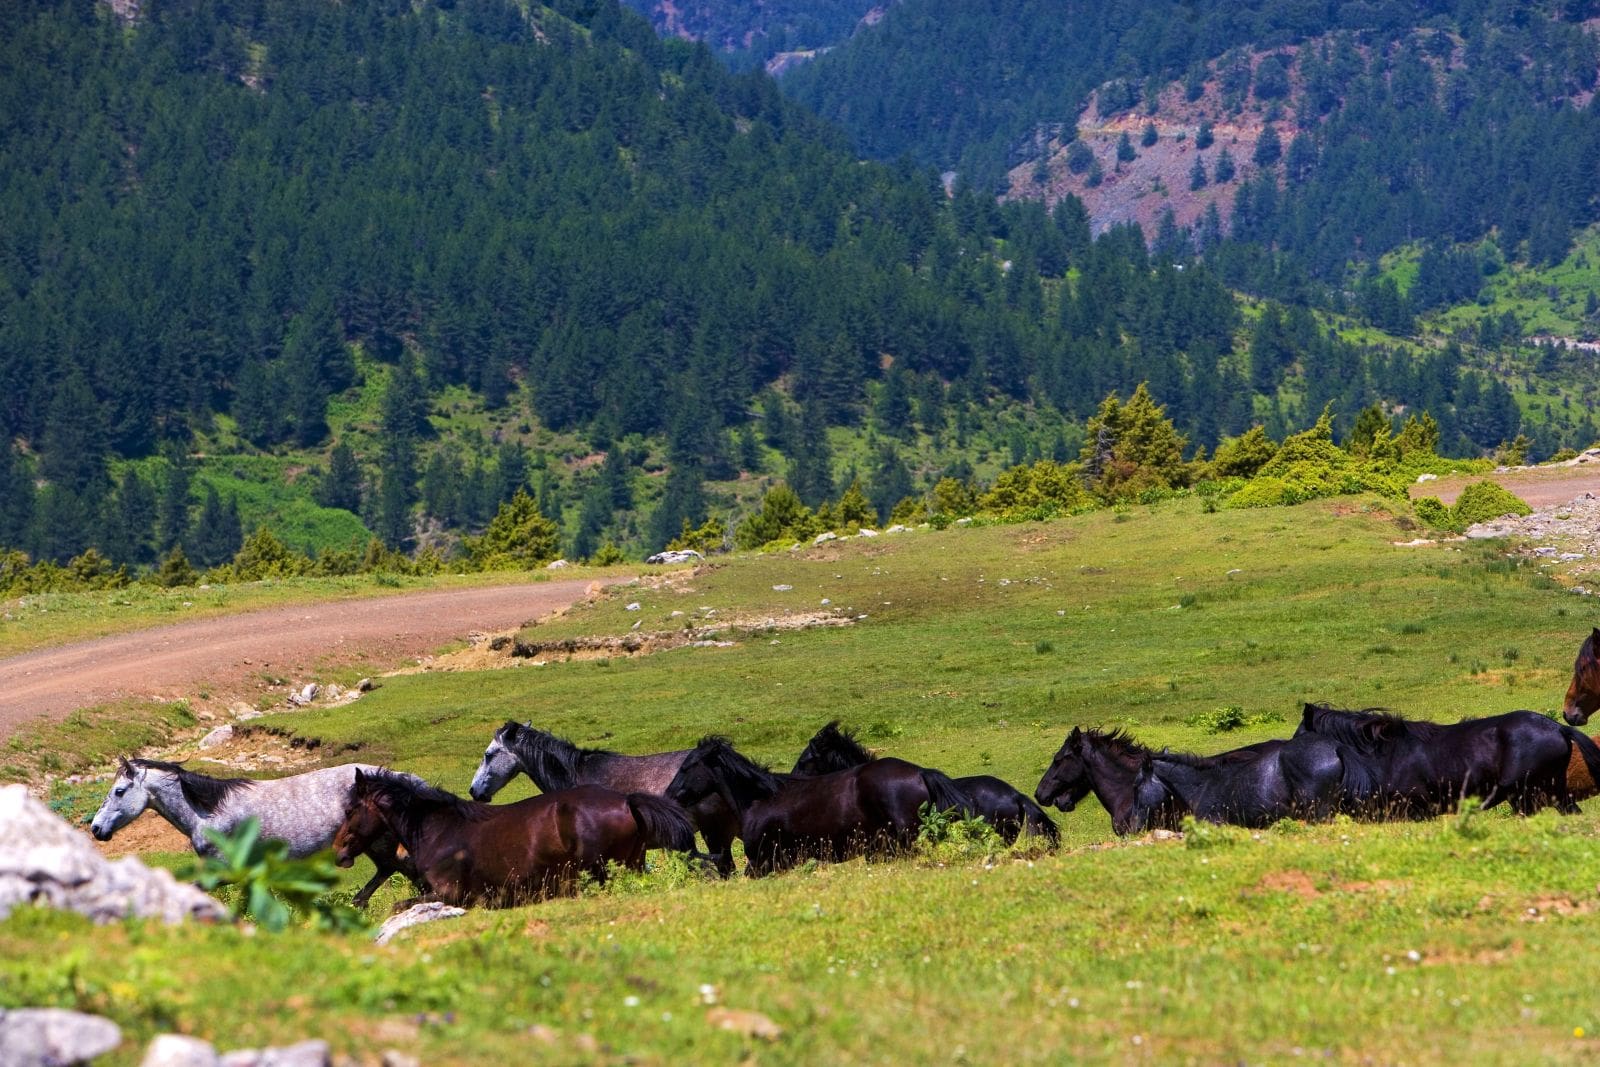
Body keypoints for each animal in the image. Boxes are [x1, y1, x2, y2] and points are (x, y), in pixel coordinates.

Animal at [89, 758, 418, 907]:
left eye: (119, 791)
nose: (96, 829)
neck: (210, 812)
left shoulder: (223, 870)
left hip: (377, 843)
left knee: (399, 867)